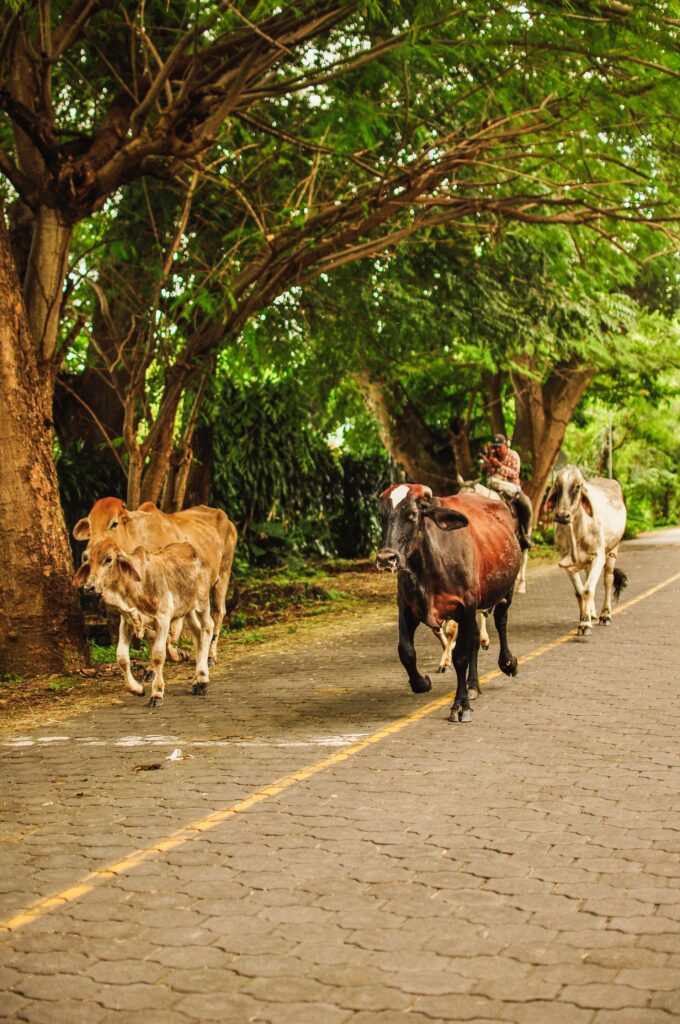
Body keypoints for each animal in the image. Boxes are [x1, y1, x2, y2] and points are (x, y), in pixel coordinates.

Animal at [74, 540, 213, 708]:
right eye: (88, 561)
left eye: (108, 559)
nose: (89, 587)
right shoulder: (127, 622)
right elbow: (121, 657)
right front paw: (137, 689)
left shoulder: (163, 619)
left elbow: (158, 656)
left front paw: (157, 693)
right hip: (187, 609)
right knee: (198, 634)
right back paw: (199, 679)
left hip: (202, 603)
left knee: (207, 628)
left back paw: (202, 679)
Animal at [376, 483, 520, 724]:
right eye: (381, 515)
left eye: (412, 515)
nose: (386, 558)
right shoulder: (406, 608)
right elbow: (406, 651)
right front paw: (421, 683)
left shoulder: (466, 607)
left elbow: (460, 657)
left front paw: (460, 706)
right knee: (475, 639)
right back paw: (473, 685)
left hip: (505, 591)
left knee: (501, 621)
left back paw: (508, 663)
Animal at [544, 464, 630, 630]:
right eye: (557, 485)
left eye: (578, 487)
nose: (562, 515)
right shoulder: (565, 559)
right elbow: (580, 591)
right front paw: (585, 616)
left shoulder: (599, 555)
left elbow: (588, 589)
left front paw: (585, 623)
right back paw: (593, 613)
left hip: (612, 550)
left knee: (608, 579)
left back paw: (605, 615)